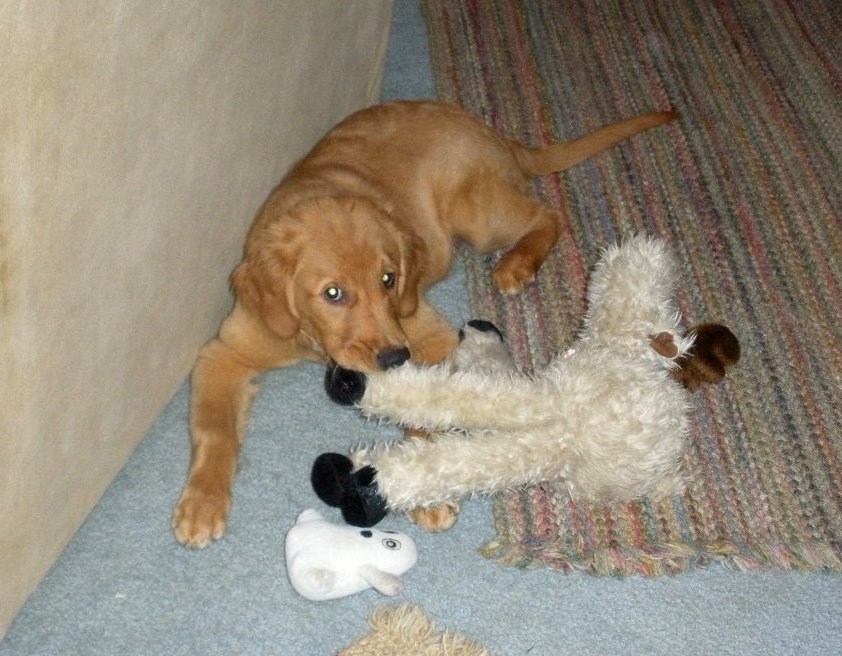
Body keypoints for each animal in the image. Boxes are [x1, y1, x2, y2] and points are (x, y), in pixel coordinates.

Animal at [172, 100, 676, 544]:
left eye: (389, 279)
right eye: (333, 293)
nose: (395, 358)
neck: (312, 342)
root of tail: (487, 130)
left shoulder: (426, 329)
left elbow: (431, 404)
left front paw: (420, 488)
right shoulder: (224, 351)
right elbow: (213, 429)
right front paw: (201, 504)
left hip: (478, 216)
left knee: (546, 213)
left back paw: (517, 265)